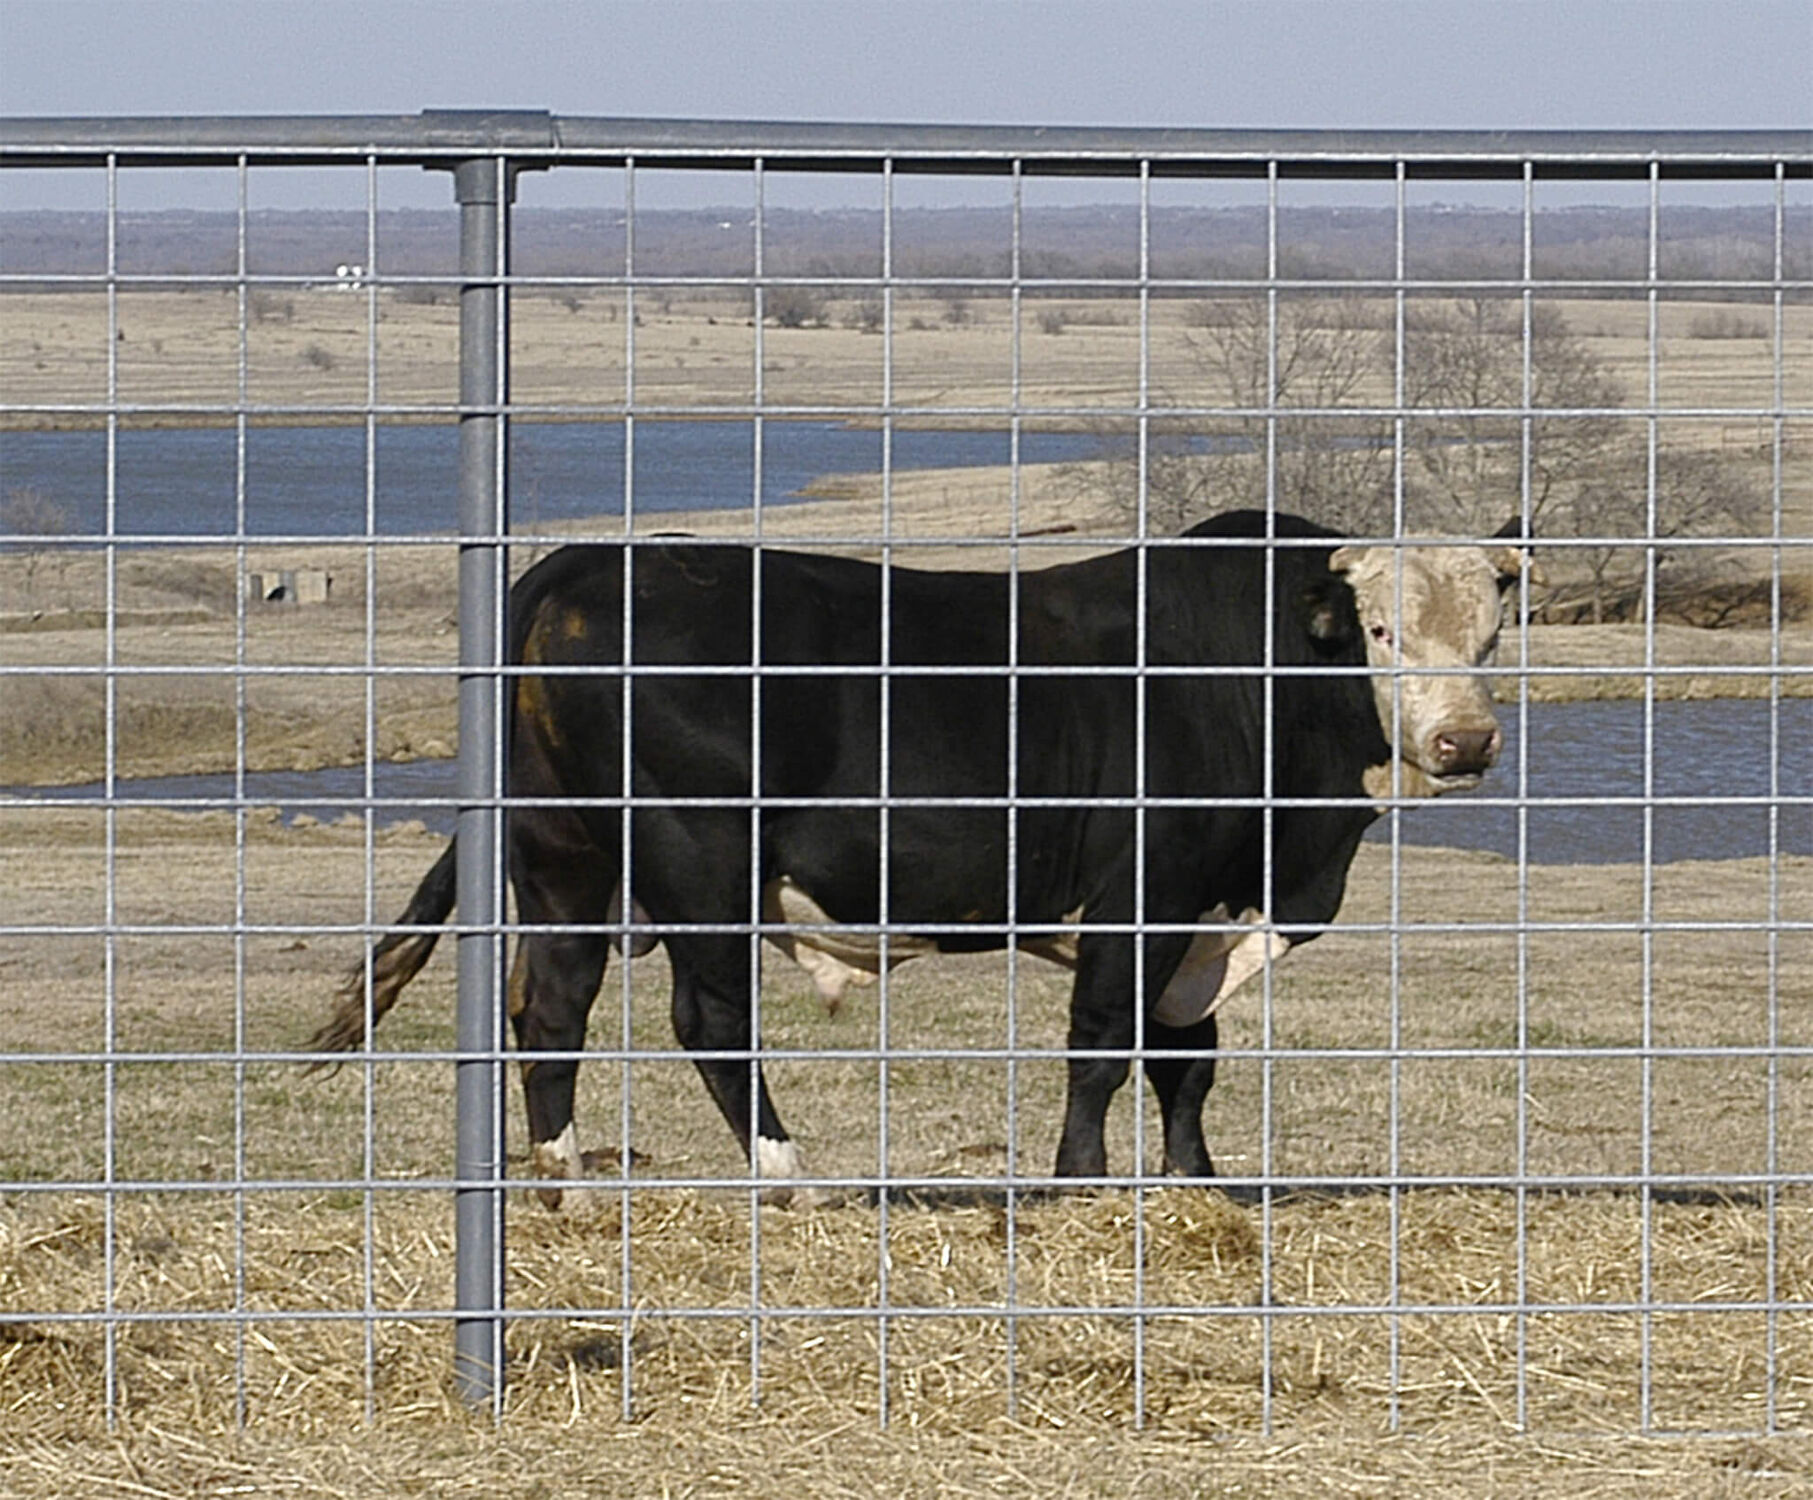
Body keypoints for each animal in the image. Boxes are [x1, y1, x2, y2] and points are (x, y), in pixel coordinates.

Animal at [310, 509, 1527, 1205]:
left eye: (1488, 634)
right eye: (1380, 632)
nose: (1464, 742)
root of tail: (580, 570)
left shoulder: (1201, 913)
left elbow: (1188, 1059)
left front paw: (1198, 1187)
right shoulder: (1140, 895)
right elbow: (1103, 1047)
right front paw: (1077, 1188)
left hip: (564, 858)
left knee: (551, 1010)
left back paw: (565, 1191)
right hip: (697, 858)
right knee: (709, 1019)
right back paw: (787, 1178)